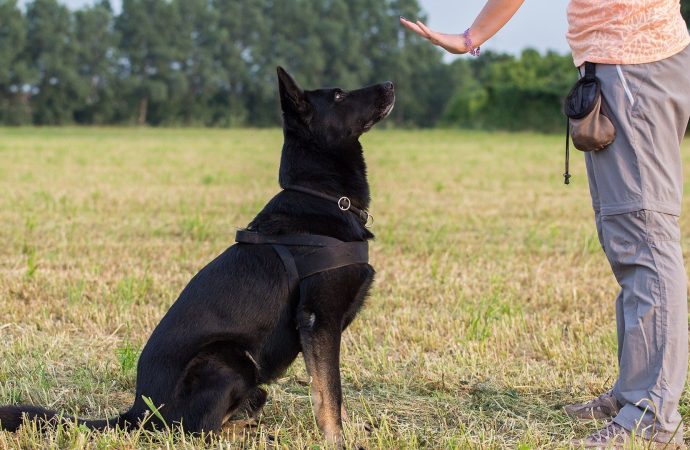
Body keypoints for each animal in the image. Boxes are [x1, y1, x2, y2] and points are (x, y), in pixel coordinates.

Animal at [0, 67, 396, 446]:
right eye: (339, 95)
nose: (391, 84)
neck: (323, 196)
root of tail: (138, 412)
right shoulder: (320, 320)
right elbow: (330, 392)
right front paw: (337, 440)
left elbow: (330, 392)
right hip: (229, 359)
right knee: (197, 430)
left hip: (253, 383)